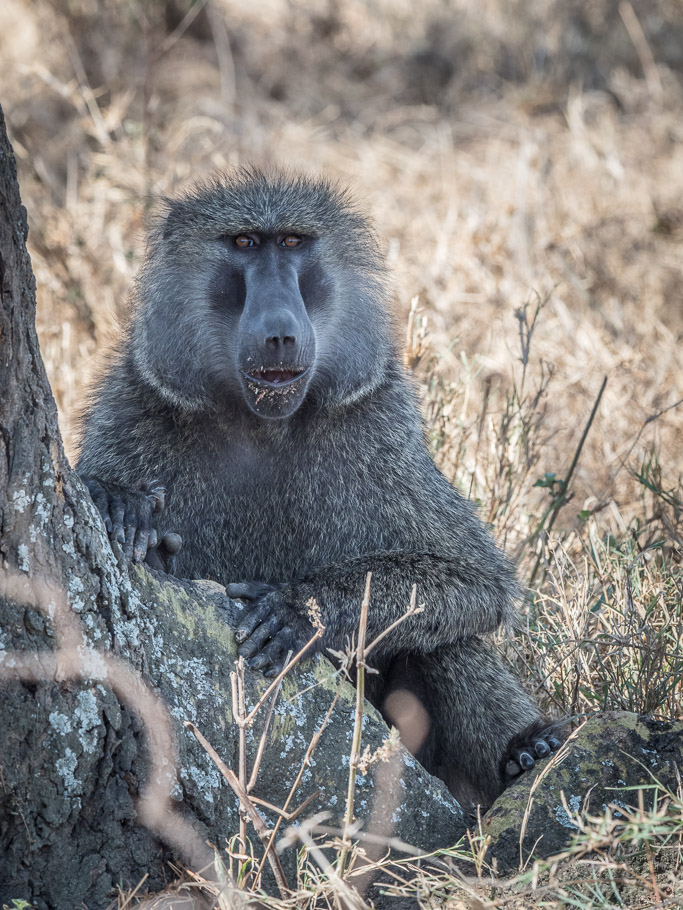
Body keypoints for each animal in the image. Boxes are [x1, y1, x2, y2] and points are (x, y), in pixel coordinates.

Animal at [76, 168, 563, 808]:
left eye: (292, 243)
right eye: (244, 243)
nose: (280, 332)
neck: (259, 422)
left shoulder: (378, 423)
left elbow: (477, 580)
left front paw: (301, 609)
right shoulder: (132, 403)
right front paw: (125, 510)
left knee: (444, 639)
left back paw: (526, 751)